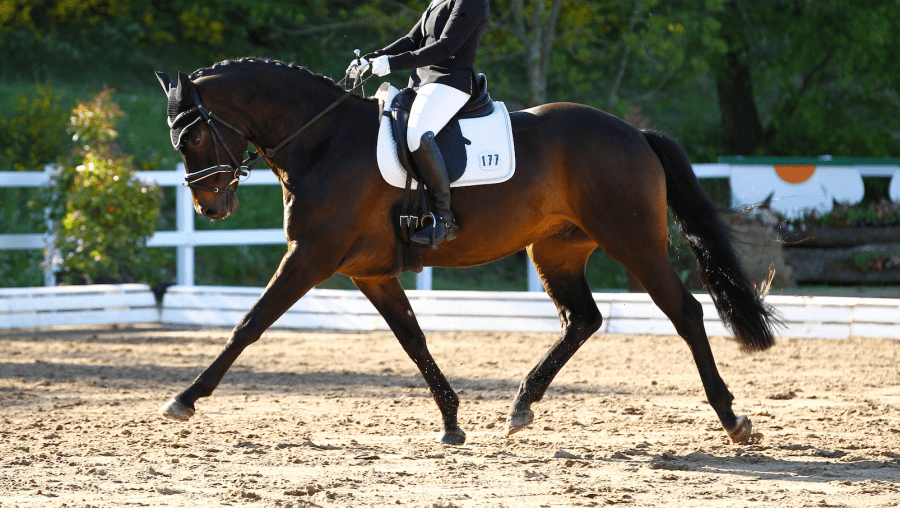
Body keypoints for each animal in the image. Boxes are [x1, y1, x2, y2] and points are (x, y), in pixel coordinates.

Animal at [151, 56, 776, 444]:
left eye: (194, 133)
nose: (209, 207)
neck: (323, 140)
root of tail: (632, 133)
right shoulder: (368, 272)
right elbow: (412, 339)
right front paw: (452, 420)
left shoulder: (311, 256)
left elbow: (250, 324)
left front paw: (185, 398)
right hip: (556, 250)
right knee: (583, 319)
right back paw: (522, 404)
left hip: (632, 240)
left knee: (685, 312)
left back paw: (733, 418)